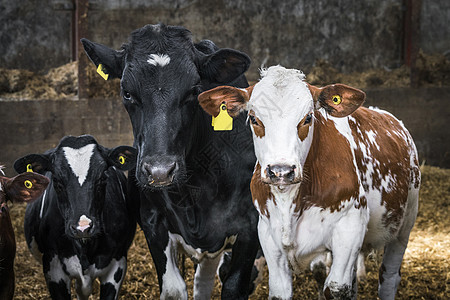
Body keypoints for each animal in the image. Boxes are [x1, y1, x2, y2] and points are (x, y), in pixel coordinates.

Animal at [82, 23, 258, 298]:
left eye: (194, 90)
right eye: (127, 93)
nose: (160, 172)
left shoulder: (250, 226)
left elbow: (235, 286)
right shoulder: (152, 220)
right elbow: (174, 288)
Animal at [199, 66, 420, 300]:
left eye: (308, 118)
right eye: (253, 118)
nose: (281, 171)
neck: (289, 201)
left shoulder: (350, 226)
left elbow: (336, 288)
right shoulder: (267, 234)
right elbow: (281, 291)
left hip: (405, 226)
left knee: (389, 277)